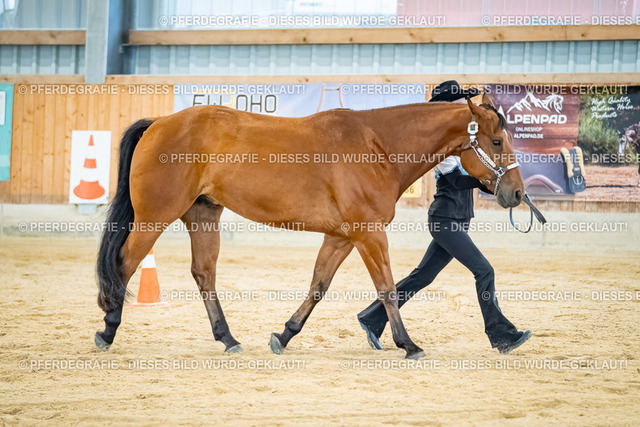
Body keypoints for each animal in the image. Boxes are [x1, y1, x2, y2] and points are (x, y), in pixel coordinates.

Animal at [95, 93, 524, 359]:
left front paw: (284, 335)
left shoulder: (341, 237)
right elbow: (387, 287)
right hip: (155, 216)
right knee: (124, 263)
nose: (517, 193)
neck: (377, 146)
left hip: (203, 215)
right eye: (497, 141)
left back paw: (228, 339)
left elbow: (319, 285)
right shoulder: (369, 234)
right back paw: (108, 331)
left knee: (203, 273)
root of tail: (159, 123)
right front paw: (408, 344)